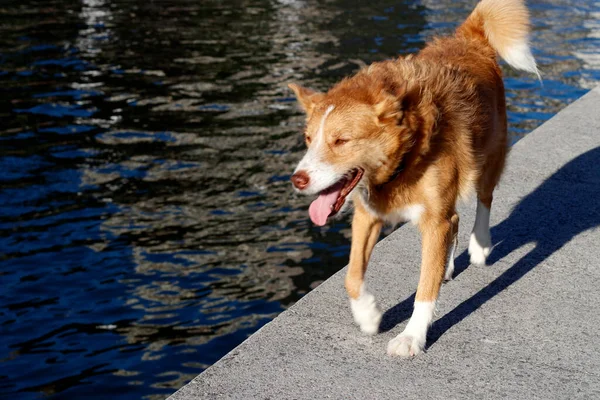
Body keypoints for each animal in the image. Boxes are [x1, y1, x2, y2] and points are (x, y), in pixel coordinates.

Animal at [288, 0, 540, 356]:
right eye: (309, 139)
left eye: (341, 141)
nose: (297, 179)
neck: (407, 152)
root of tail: (467, 38)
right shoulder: (368, 214)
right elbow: (352, 275)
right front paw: (368, 315)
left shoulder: (434, 220)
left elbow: (424, 290)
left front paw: (412, 336)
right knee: (456, 218)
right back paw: (447, 265)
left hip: (488, 158)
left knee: (484, 199)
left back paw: (479, 245)